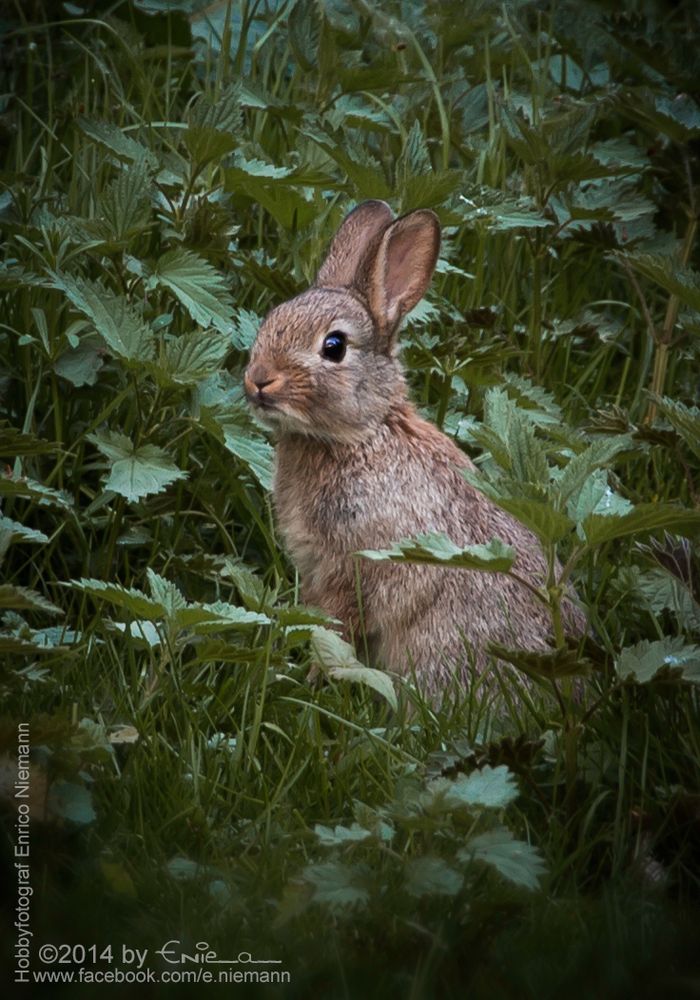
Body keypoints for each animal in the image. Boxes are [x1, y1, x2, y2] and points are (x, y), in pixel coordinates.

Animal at [243, 198, 584, 692]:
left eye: (334, 346)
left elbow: (336, 629)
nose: (259, 380)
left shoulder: (353, 566)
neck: (363, 435)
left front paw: (313, 677)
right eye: (271, 319)